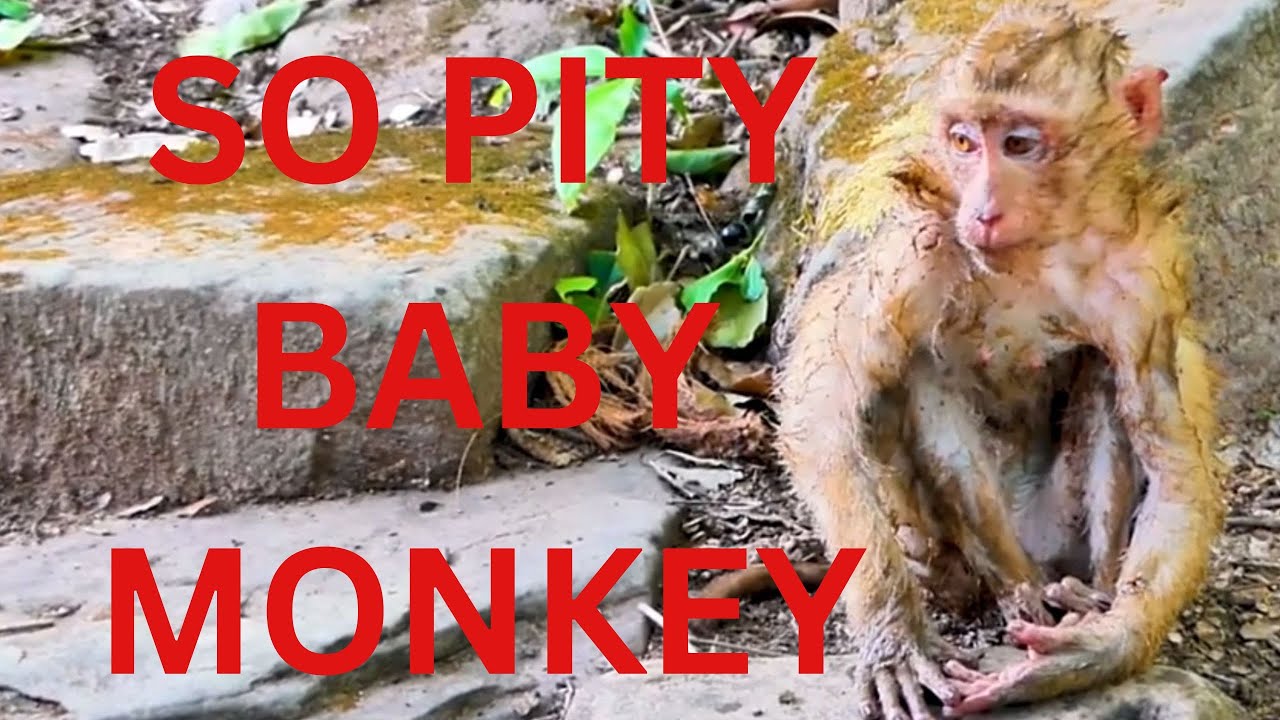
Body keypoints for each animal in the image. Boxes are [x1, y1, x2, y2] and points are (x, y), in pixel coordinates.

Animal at [713, 5, 1226, 719]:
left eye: (1018, 144)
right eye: (963, 142)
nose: (982, 208)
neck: (1037, 254)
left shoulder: (1146, 285)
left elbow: (1173, 460)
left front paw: (1098, 648)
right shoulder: (918, 248)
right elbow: (825, 402)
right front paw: (894, 635)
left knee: (1100, 373)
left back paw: (1082, 596)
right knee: (915, 373)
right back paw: (1002, 586)